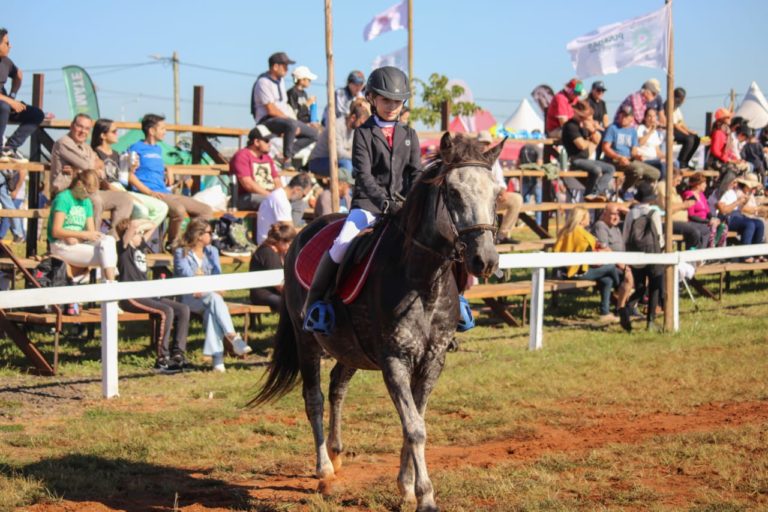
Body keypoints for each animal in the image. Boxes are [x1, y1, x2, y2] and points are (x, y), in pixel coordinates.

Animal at [252, 133, 504, 512]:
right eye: (454, 193)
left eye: (496, 193)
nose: (484, 260)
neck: (423, 280)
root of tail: (304, 231)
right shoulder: (394, 360)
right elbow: (414, 427)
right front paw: (425, 496)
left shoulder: (433, 361)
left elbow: (415, 420)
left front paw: (406, 486)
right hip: (307, 341)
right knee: (314, 398)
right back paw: (325, 469)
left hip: (350, 348)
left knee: (337, 386)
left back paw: (337, 453)